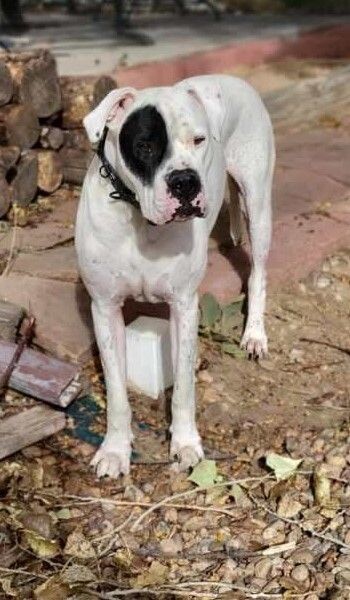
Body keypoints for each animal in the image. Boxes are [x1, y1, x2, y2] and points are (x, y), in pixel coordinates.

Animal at [75, 75, 274, 478]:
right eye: (145, 146)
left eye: (198, 140)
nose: (185, 182)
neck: (140, 219)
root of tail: (236, 79)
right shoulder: (105, 308)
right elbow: (117, 392)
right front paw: (115, 449)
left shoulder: (184, 307)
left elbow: (183, 386)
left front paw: (185, 443)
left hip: (259, 205)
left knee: (258, 273)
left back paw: (254, 335)